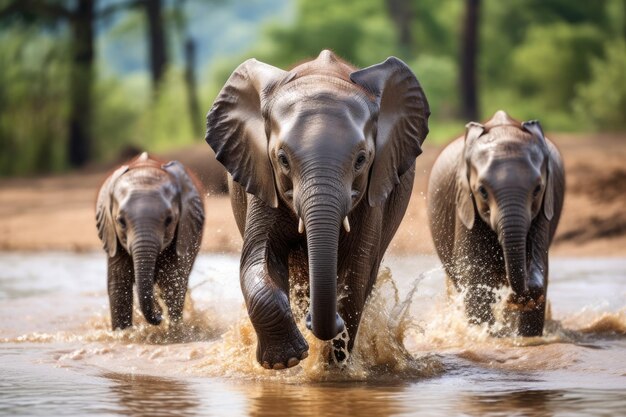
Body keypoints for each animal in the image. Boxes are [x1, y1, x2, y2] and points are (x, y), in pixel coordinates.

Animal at [95, 151, 204, 330]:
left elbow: (172, 283)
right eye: (121, 221)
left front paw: (173, 332)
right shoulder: (112, 238)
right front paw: (123, 333)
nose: (159, 316)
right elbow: (119, 285)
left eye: (169, 220)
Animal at [205, 49, 428, 368]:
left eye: (361, 159)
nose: (314, 319)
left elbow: (356, 274)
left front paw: (333, 367)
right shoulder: (262, 177)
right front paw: (286, 362)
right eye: (282, 159)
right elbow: (258, 259)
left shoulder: (372, 193)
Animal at [424, 109, 564, 334]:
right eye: (482, 191)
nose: (519, 295)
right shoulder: (465, 205)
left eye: (538, 189)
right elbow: (474, 277)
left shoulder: (544, 209)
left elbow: (541, 263)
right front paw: (487, 335)